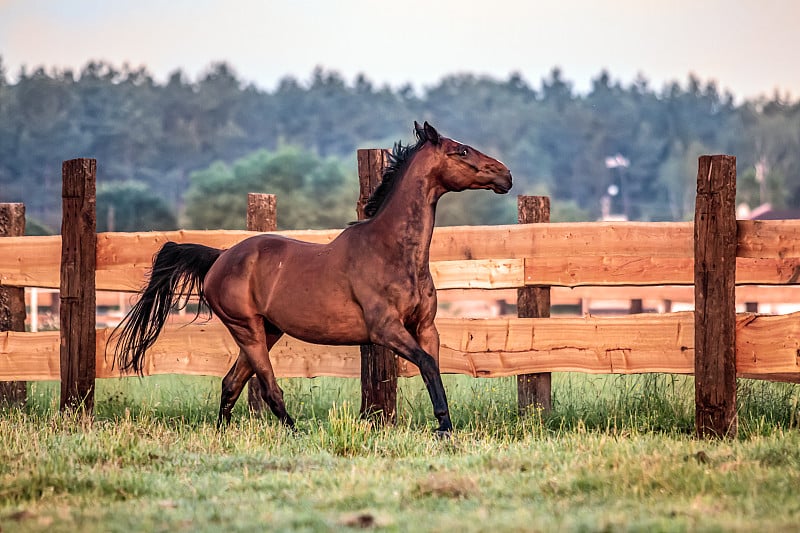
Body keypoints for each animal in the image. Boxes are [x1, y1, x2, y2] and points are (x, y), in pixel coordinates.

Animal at [111, 122, 512, 434]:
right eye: (461, 150)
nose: (505, 175)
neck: (393, 252)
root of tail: (220, 257)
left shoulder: (426, 327)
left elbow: (434, 369)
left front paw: (445, 425)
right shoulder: (386, 330)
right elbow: (427, 365)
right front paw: (443, 428)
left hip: (267, 330)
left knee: (231, 383)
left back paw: (223, 434)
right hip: (247, 329)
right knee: (268, 388)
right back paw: (294, 432)